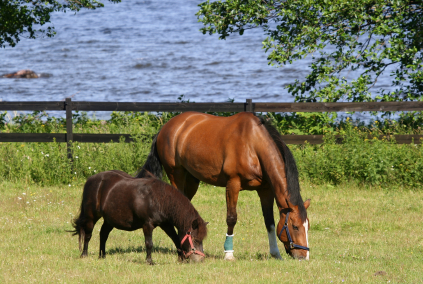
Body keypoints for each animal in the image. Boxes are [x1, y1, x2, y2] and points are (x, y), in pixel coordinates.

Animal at [70, 169, 209, 264]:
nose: (201, 260)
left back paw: (102, 255)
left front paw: (181, 258)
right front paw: (149, 261)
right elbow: (149, 243)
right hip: (91, 216)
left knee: (103, 234)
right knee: (88, 235)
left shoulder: (166, 224)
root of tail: (91, 179)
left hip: (110, 220)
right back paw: (84, 254)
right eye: (195, 239)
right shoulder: (147, 224)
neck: (158, 198)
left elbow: (176, 239)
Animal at [138, 111, 312, 260]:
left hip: (192, 179)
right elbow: (231, 218)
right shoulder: (233, 184)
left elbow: (269, 221)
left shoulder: (265, 190)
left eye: (307, 226)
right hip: (176, 174)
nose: (304, 256)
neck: (253, 145)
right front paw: (229, 253)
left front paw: (275, 254)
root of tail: (166, 127)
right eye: (295, 226)